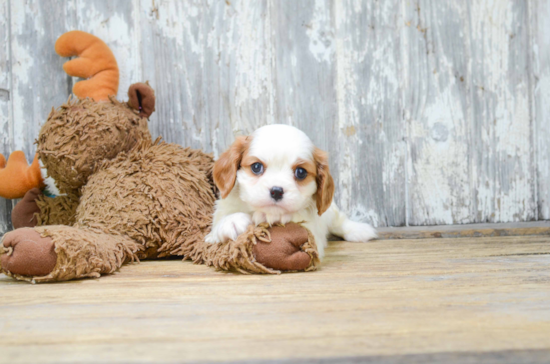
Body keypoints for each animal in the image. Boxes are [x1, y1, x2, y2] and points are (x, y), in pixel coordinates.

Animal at [205, 125, 378, 258]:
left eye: (300, 172)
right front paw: (231, 222)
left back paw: (359, 230)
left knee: (339, 221)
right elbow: (217, 228)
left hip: (331, 210)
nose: (276, 191)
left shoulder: (313, 231)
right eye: (256, 167)